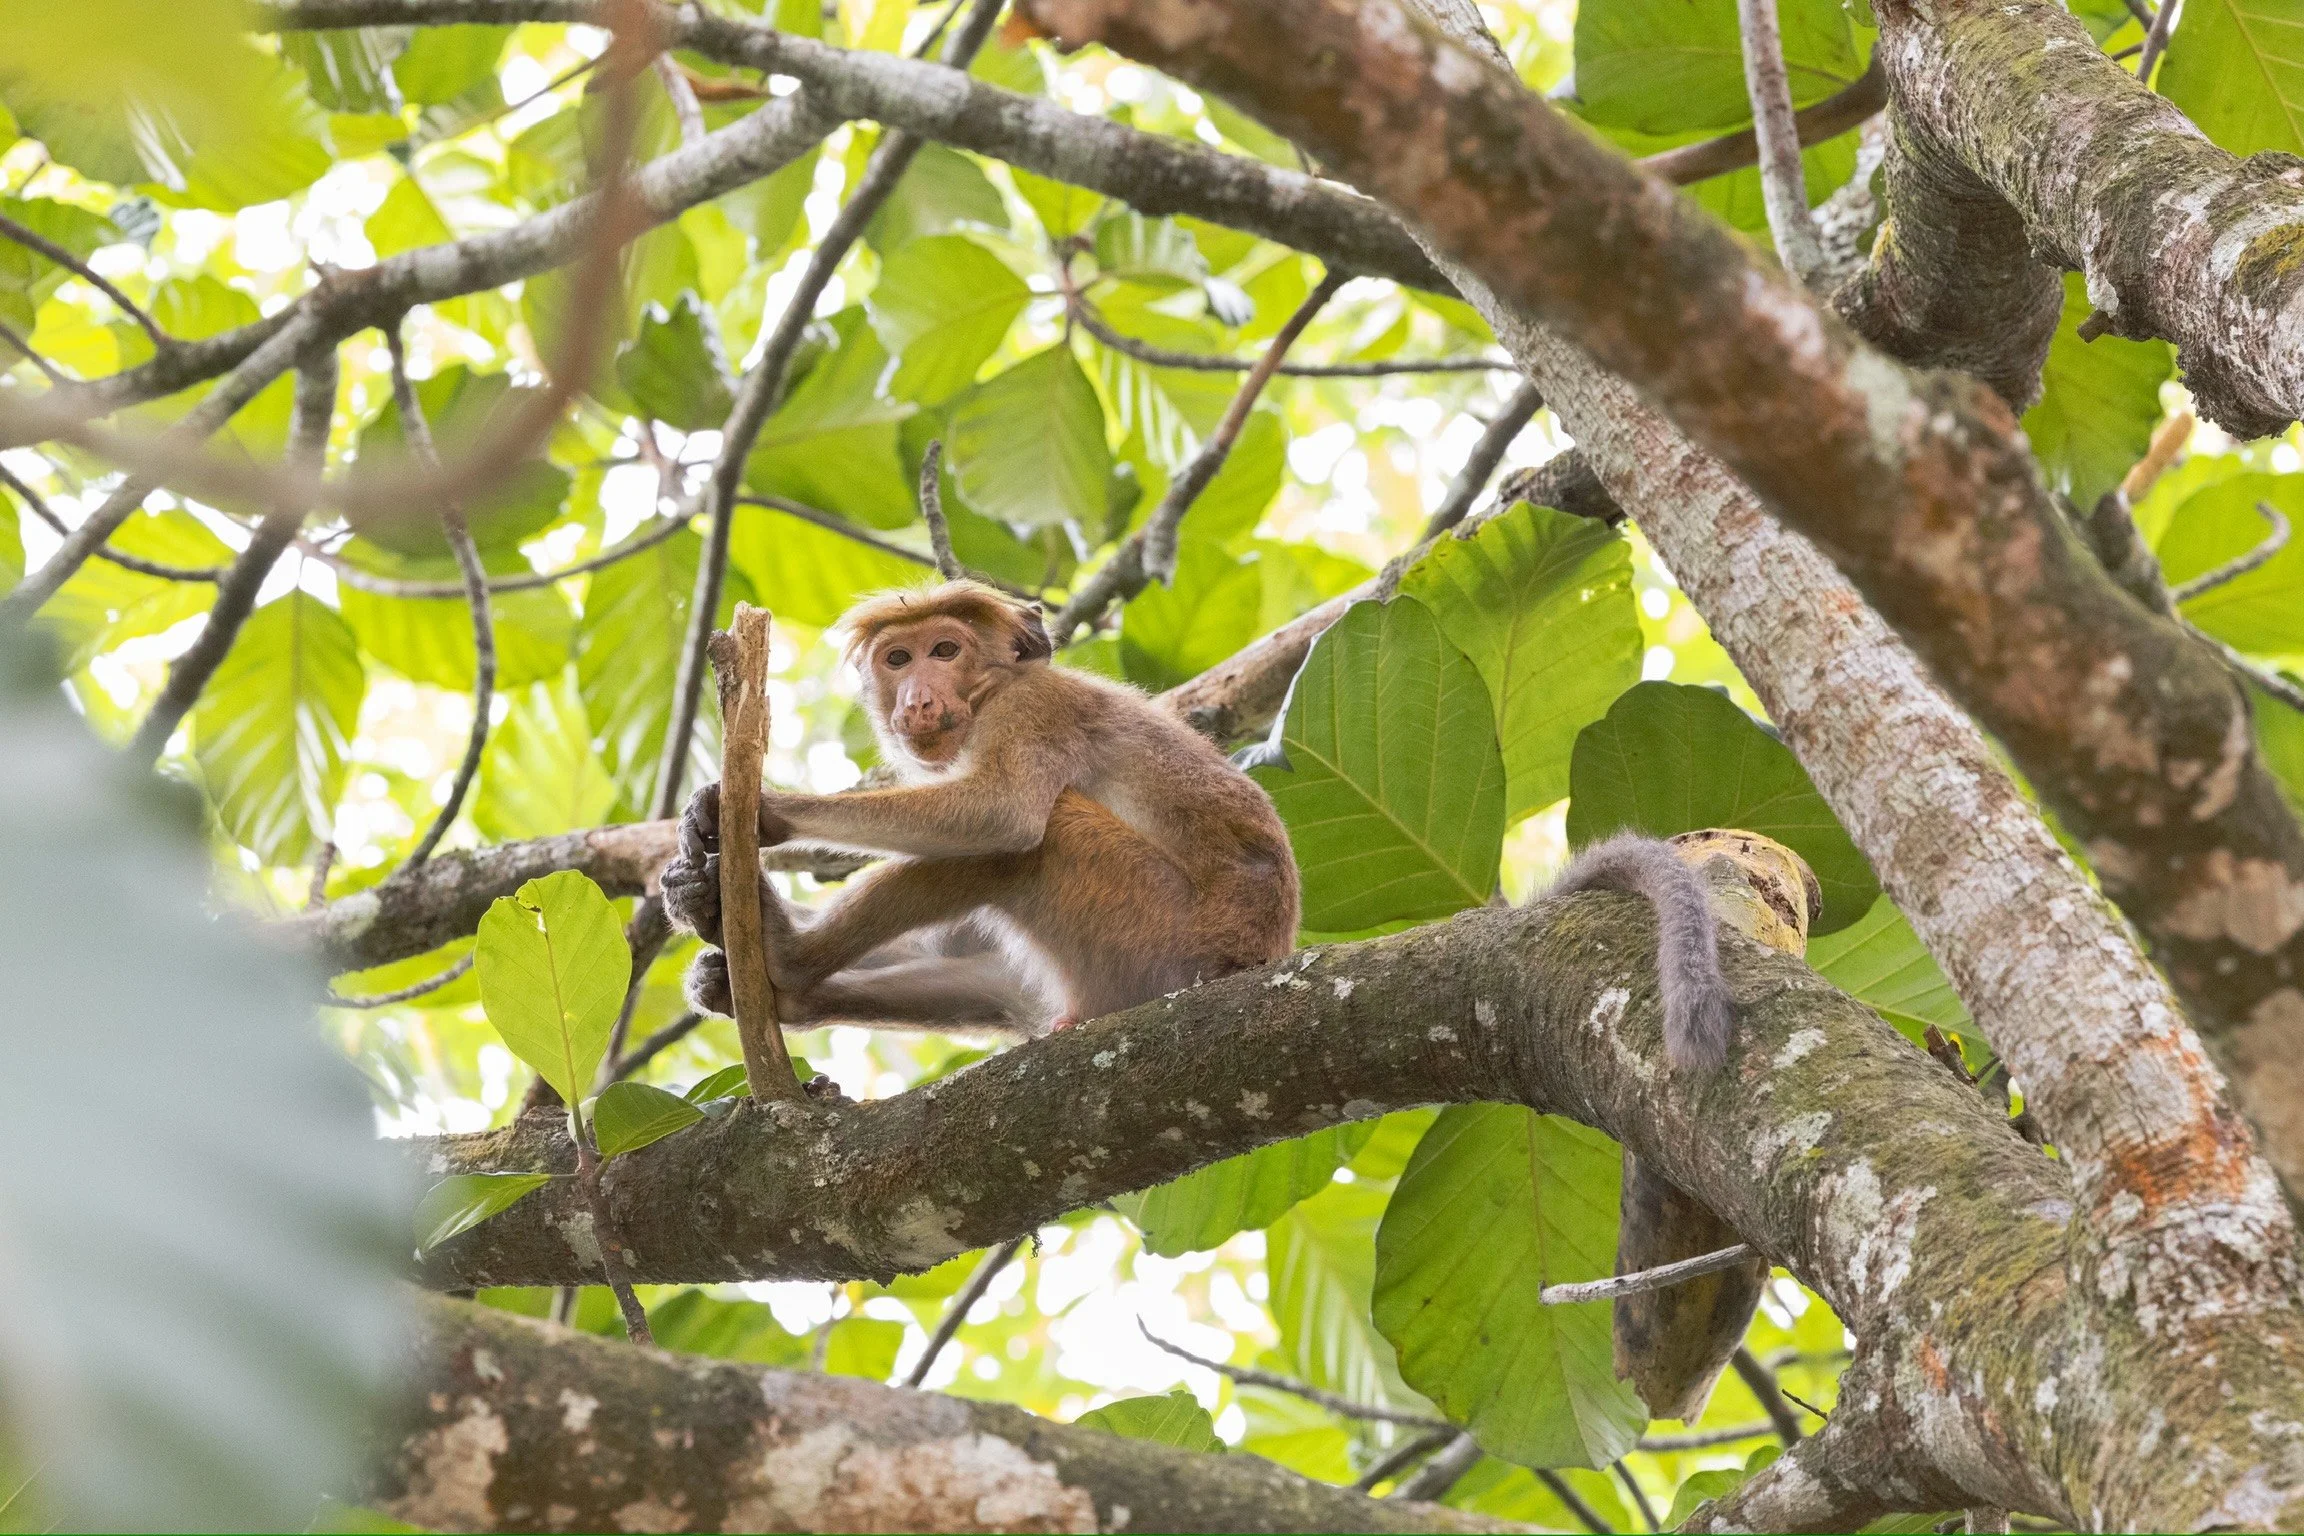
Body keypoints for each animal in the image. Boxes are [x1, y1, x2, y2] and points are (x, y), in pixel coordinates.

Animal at [661, 579, 1300, 1034]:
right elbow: (952, 942)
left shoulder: (1031, 708)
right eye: (898, 659)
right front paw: (696, 891)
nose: (918, 699)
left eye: (945, 650)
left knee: (1029, 842)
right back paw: (781, 988)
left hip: (1158, 940)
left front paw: (766, 812)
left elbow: (1002, 813)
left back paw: (785, 952)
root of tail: (1259, 954)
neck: (990, 693)